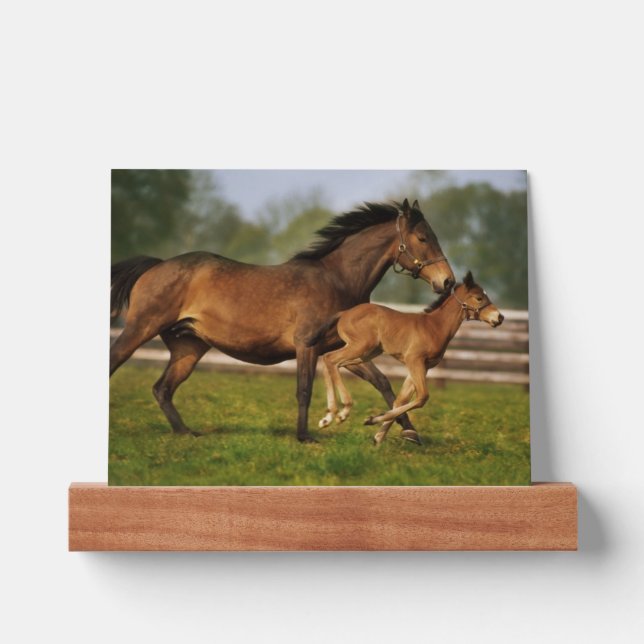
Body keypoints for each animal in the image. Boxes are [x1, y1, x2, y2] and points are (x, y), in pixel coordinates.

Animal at [110, 198, 455, 443]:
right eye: (423, 238)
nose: (448, 282)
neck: (337, 279)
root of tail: (157, 265)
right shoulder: (308, 345)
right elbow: (304, 389)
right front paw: (306, 435)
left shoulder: (347, 348)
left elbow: (383, 383)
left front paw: (409, 432)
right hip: (140, 329)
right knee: (120, 364)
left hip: (188, 348)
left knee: (162, 389)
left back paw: (186, 433)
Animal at [310, 271, 503, 445]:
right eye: (479, 298)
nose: (500, 317)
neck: (434, 327)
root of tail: (344, 313)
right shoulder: (414, 360)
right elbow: (422, 397)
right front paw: (373, 420)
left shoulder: (422, 366)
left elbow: (400, 400)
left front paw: (378, 435)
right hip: (360, 347)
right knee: (331, 358)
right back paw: (341, 412)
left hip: (366, 353)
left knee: (332, 361)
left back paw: (329, 416)